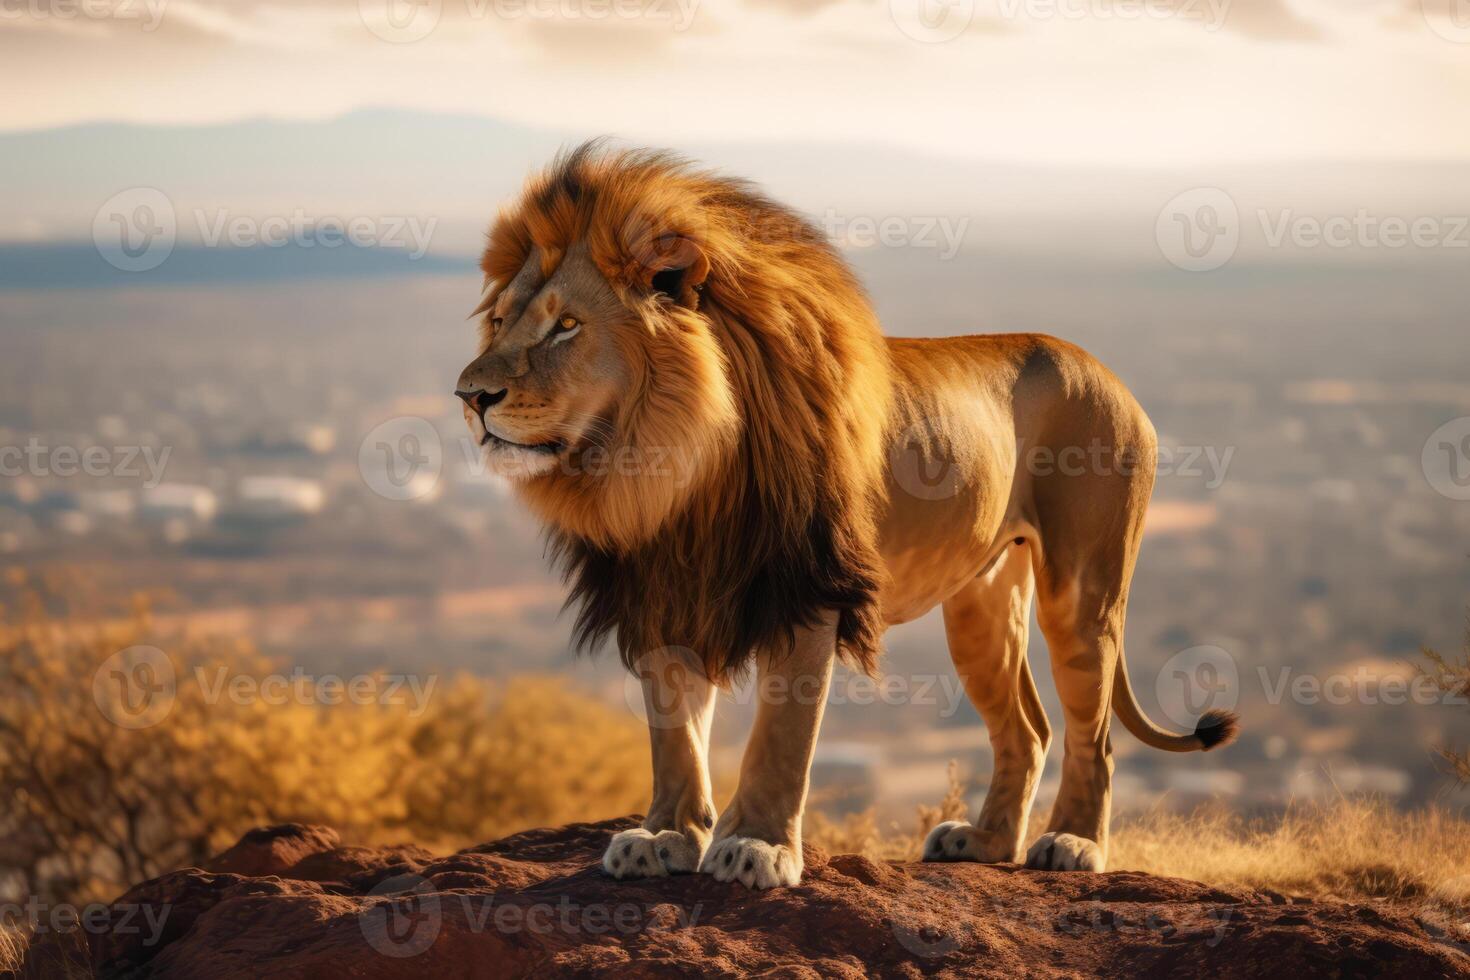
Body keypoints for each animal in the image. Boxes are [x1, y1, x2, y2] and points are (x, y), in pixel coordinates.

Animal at [452, 143, 1234, 887]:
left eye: (567, 326)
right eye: (500, 322)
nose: (470, 396)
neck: (666, 467)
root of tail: (1107, 371)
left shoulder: (808, 586)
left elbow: (781, 736)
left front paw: (755, 847)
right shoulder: (664, 595)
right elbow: (674, 735)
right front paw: (665, 838)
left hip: (1084, 590)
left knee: (1093, 732)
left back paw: (1072, 845)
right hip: (979, 606)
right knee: (1028, 728)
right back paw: (985, 843)